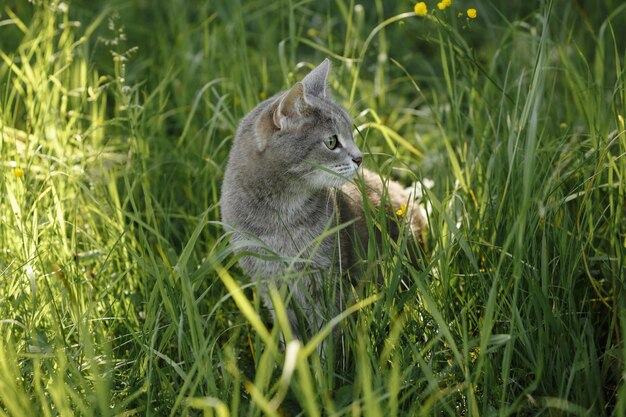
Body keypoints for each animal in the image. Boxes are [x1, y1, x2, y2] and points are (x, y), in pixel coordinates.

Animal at [219, 58, 424, 336]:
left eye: (351, 134)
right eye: (331, 142)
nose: (359, 158)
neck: (280, 217)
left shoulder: (327, 282)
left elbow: (328, 335)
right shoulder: (271, 285)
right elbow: (289, 335)